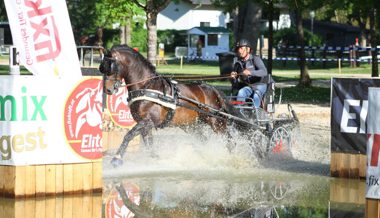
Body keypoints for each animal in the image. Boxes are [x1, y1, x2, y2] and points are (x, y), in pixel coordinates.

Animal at [98, 44, 235, 167]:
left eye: (111, 67)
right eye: (102, 68)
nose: (107, 90)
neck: (146, 86)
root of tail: (211, 89)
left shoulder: (148, 121)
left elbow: (128, 135)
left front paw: (117, 158)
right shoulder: (144, 124)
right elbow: (149, 144)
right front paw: (156, 159)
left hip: (216, 123)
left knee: (230, 140)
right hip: (193, 126)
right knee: (204, 140)